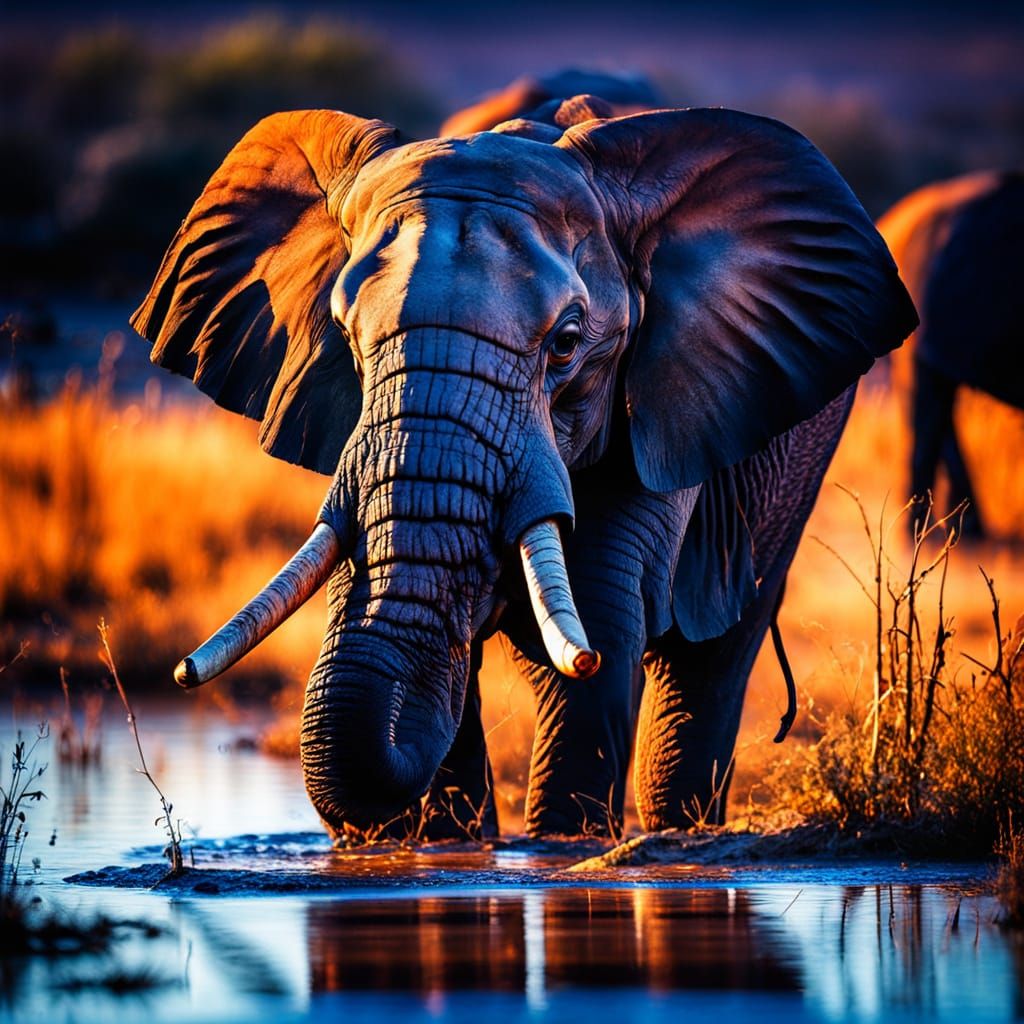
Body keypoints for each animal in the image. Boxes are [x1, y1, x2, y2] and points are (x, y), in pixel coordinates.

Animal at [131, 86, 915, 842]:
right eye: (347, 337)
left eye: (566, 343)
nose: (182, 671)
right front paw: (448, 843)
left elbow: (603, 610)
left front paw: (564, 846)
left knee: (711, 663)